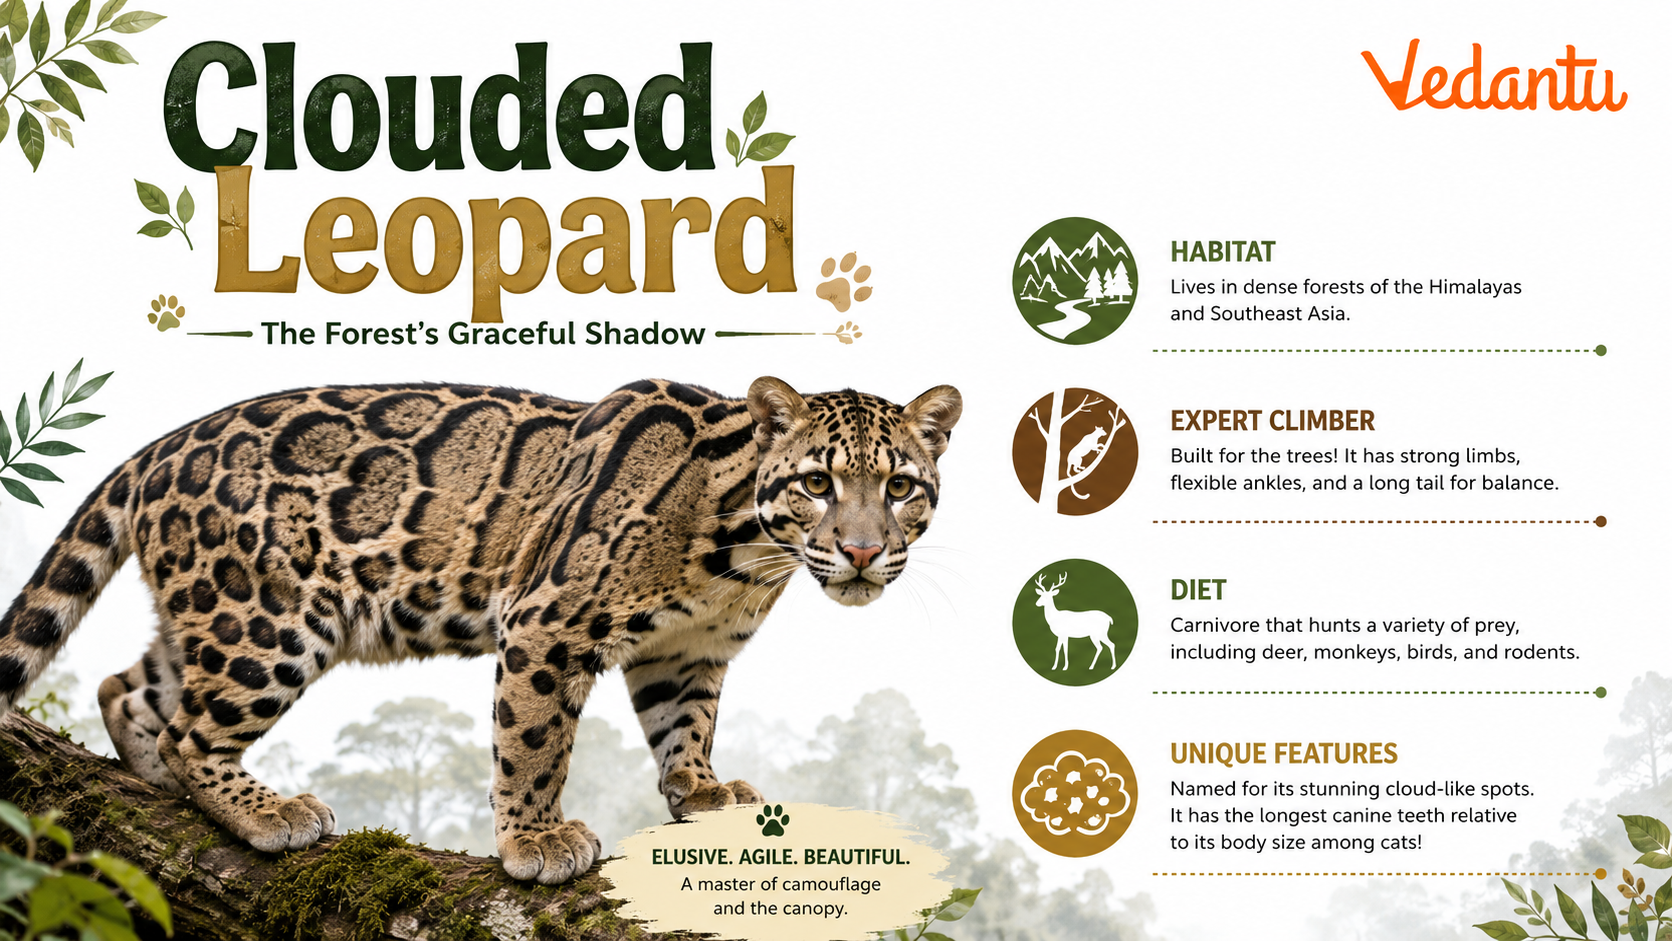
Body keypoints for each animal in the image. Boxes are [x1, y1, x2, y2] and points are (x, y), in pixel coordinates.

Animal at [0, 376, 961, 884]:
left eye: (900, 486)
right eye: (817, 482)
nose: (864, 548)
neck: (744, 555)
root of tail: (159, 448)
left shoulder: (685, 652)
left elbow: (685, 729)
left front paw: (702, 791)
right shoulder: (548, 619)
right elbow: (535, 742)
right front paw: (537, 840)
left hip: (216, 614)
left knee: (131, 690)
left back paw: (163, 781)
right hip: (268, 620)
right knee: (194, 727)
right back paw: (268, 810)